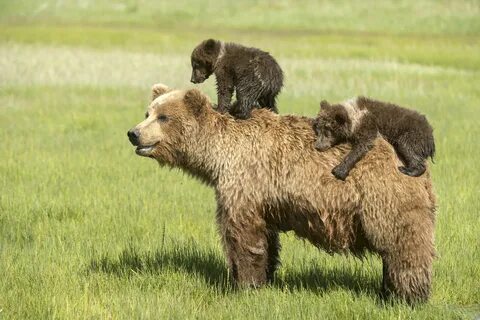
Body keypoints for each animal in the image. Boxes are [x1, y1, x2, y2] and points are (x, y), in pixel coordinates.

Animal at [126, 84, 436, 304]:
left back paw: (408, 296)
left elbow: (242, 235)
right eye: (147, 113)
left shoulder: (244, 180)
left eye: (163, 117)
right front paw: (266, 276)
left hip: (382, 196)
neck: (218, 155)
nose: (134, 133)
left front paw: (244, 284)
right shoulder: (265, 197)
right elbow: (267, 237)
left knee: (402, 244)